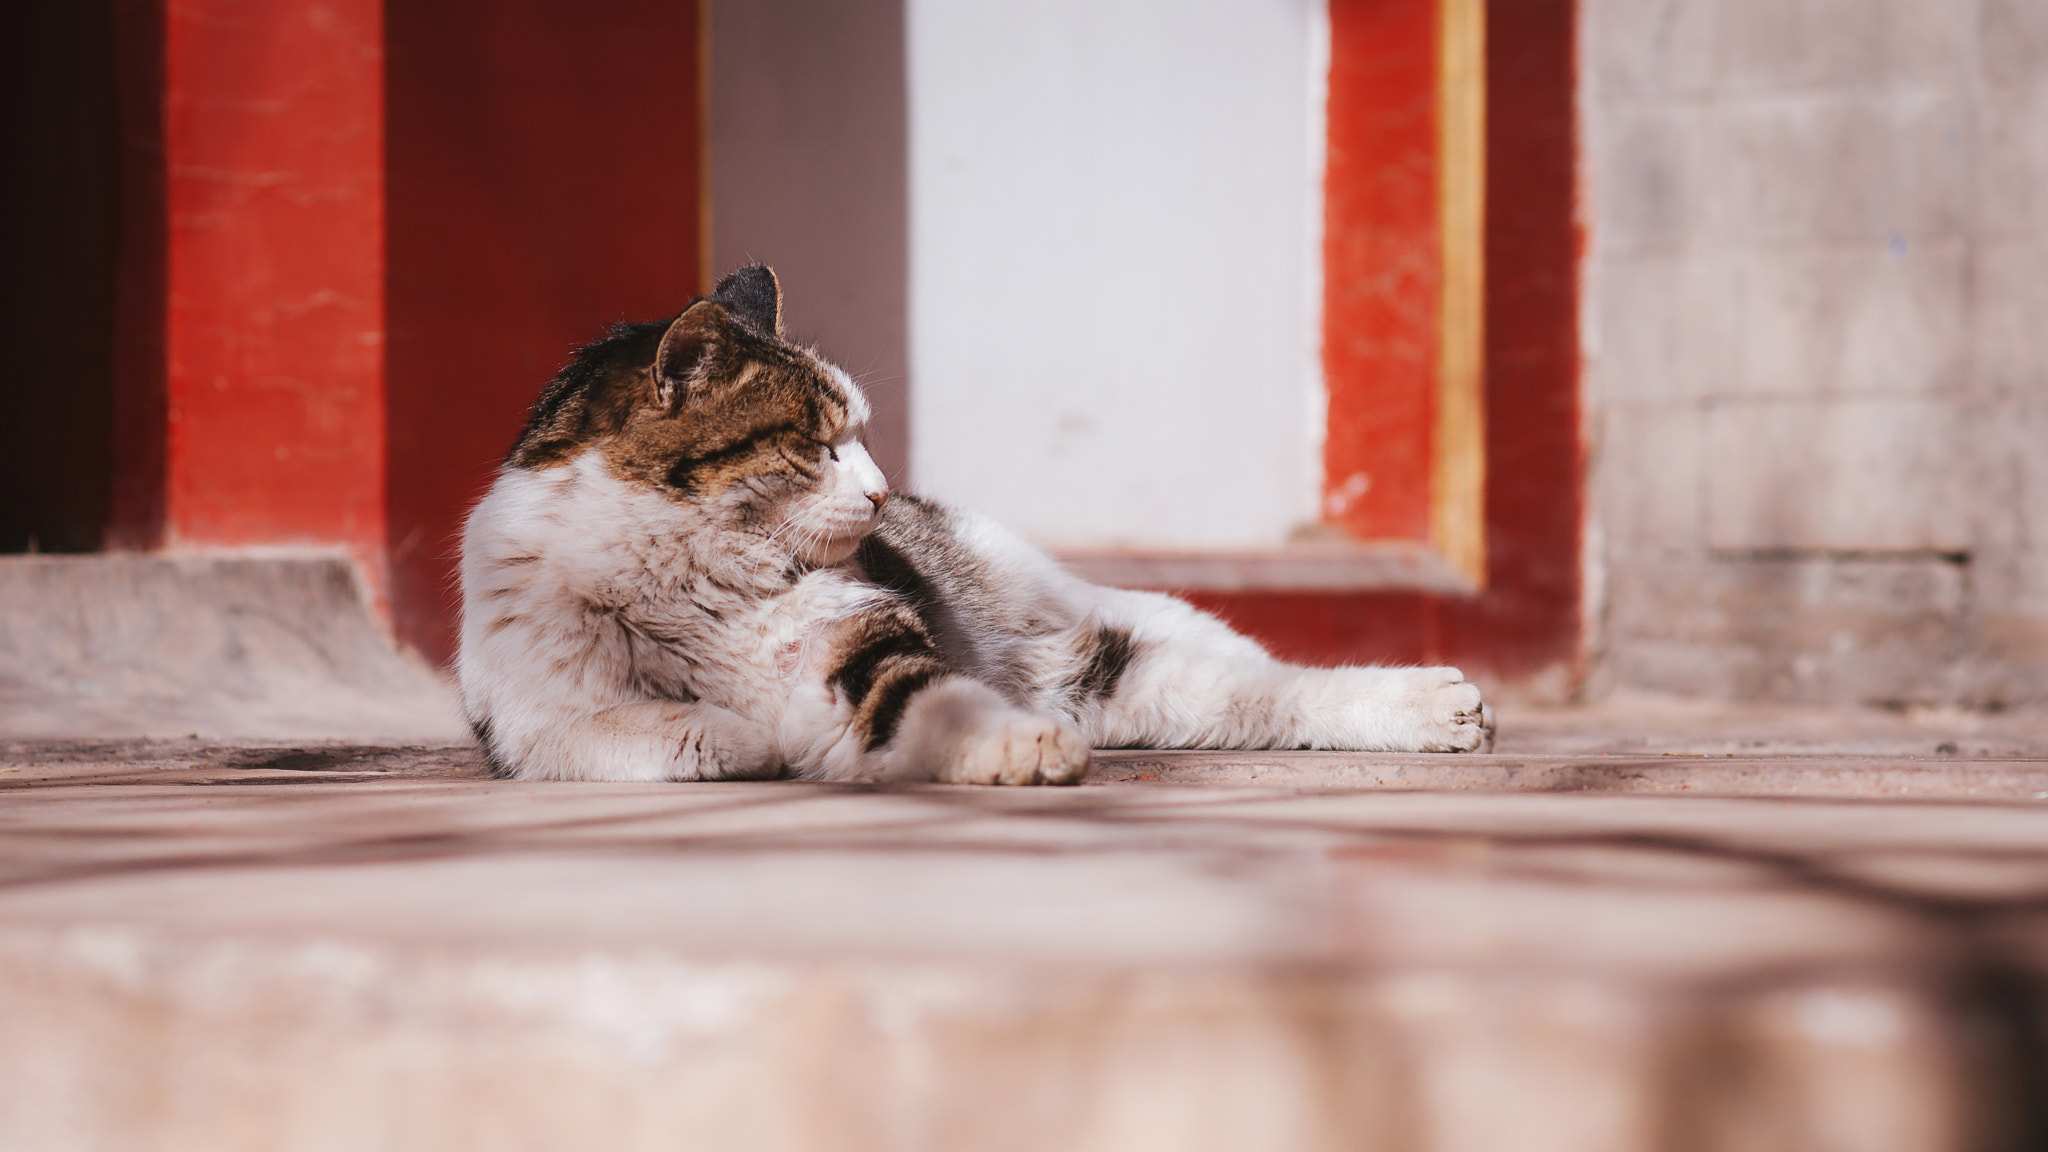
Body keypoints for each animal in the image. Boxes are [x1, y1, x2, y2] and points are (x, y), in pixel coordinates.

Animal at [460, 262, 1490, 778]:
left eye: (859, 437)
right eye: (818, 445)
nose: (885, 492)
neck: (703, 579)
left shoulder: (870, 648)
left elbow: (935, 700)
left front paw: (1017, 751)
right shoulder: (528, 716)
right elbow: (639, 730)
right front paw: (744, 735)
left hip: (1098, 636)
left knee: (1267, 680)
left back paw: (1438, 705)